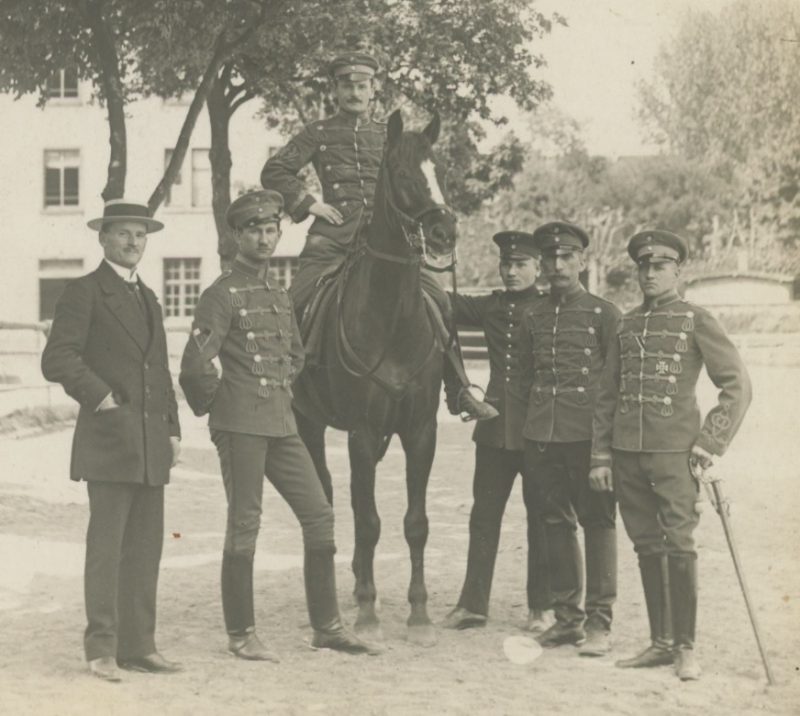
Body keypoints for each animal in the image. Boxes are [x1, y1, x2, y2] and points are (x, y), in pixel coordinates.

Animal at [294, 110, 456, 648]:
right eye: (404, 174)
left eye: (440, 171)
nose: (445, 232)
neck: (392, 318)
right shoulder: (362, 432)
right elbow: (367, 521)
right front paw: (366, 610)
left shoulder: (420, 430)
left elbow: (415, 522)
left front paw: (419, 613)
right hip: (309, 424)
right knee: (328, 496)